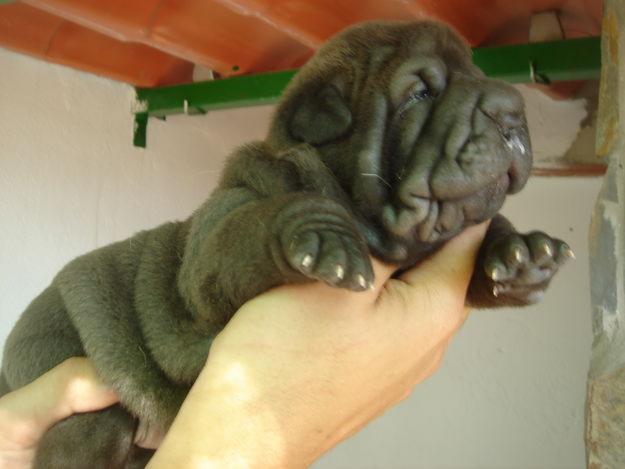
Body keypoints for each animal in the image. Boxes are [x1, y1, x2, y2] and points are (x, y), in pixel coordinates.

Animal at [2, 20, 572, 466]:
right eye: (420, 94)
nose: (513, 110)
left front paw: (519, 251)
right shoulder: (223, 229)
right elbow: (250, 229)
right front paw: (324, 237)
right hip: (65, 378)